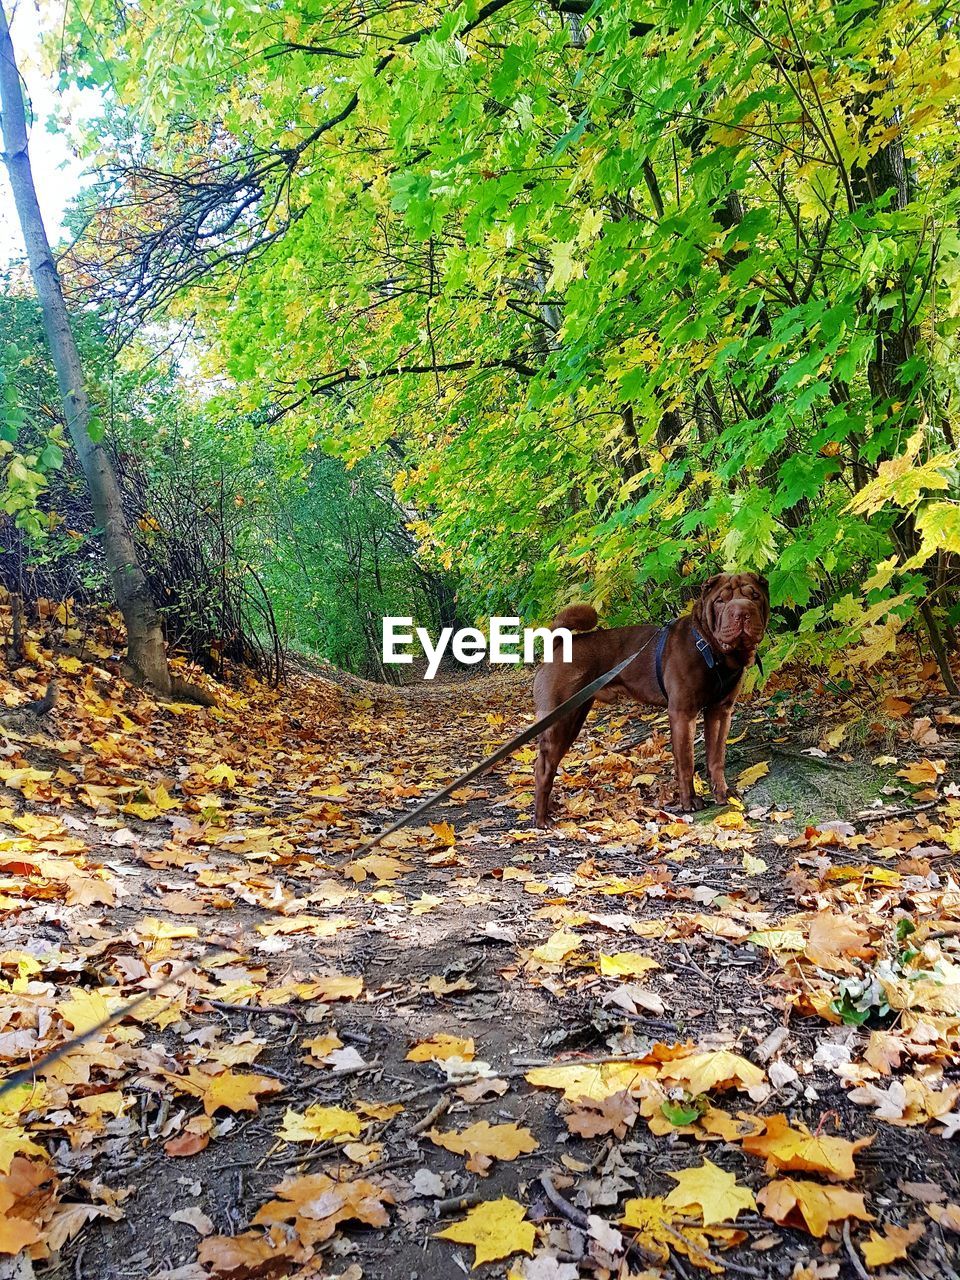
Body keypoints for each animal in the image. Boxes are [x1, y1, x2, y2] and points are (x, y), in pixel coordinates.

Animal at [529, 576, 773, 824]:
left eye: (754, 596)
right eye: (720, 601)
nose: (742, 612)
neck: (711, 650)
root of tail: (557, 644)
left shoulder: (720, 711)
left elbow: (716, 758)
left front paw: (723, 794)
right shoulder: (682, 712)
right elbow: (686, 761)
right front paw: (689, 802)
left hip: (574, 715)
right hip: (560, 721)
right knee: (543, 768)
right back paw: (542, 819)